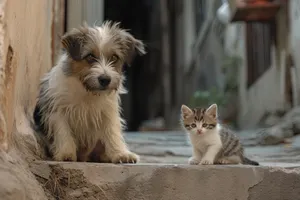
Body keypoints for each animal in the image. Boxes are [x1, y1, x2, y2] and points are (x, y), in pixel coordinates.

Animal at [32, 21, 145, 163]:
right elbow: (63, 132)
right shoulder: (57, 110)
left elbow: (112, 133)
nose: (105, 79)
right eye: (90, 56)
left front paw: (120, 153)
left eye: (114, 57)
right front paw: (66, 153)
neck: (87, 91)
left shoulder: (108, 112)